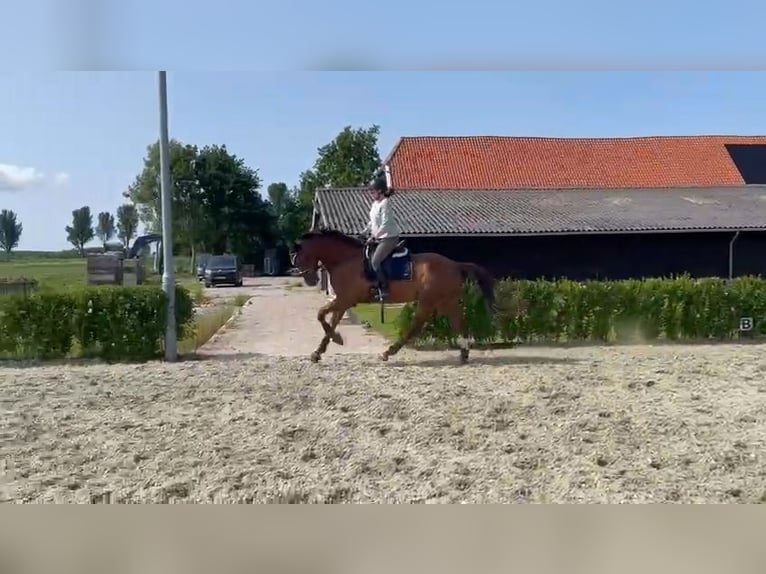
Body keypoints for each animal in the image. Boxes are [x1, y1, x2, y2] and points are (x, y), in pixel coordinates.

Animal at [290, 228, 496, 364]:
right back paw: (464, 354)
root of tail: (454, 264)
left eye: (300, 257)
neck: (346, 260)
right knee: (459, 322)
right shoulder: (342, 301)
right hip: (446, 301)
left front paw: (335, 341)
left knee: (416, 325)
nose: (309, 279)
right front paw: (321, 350)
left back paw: (388, 352)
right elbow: (330, 323)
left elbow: (320, 315)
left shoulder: (344, 299)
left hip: (428, 301)